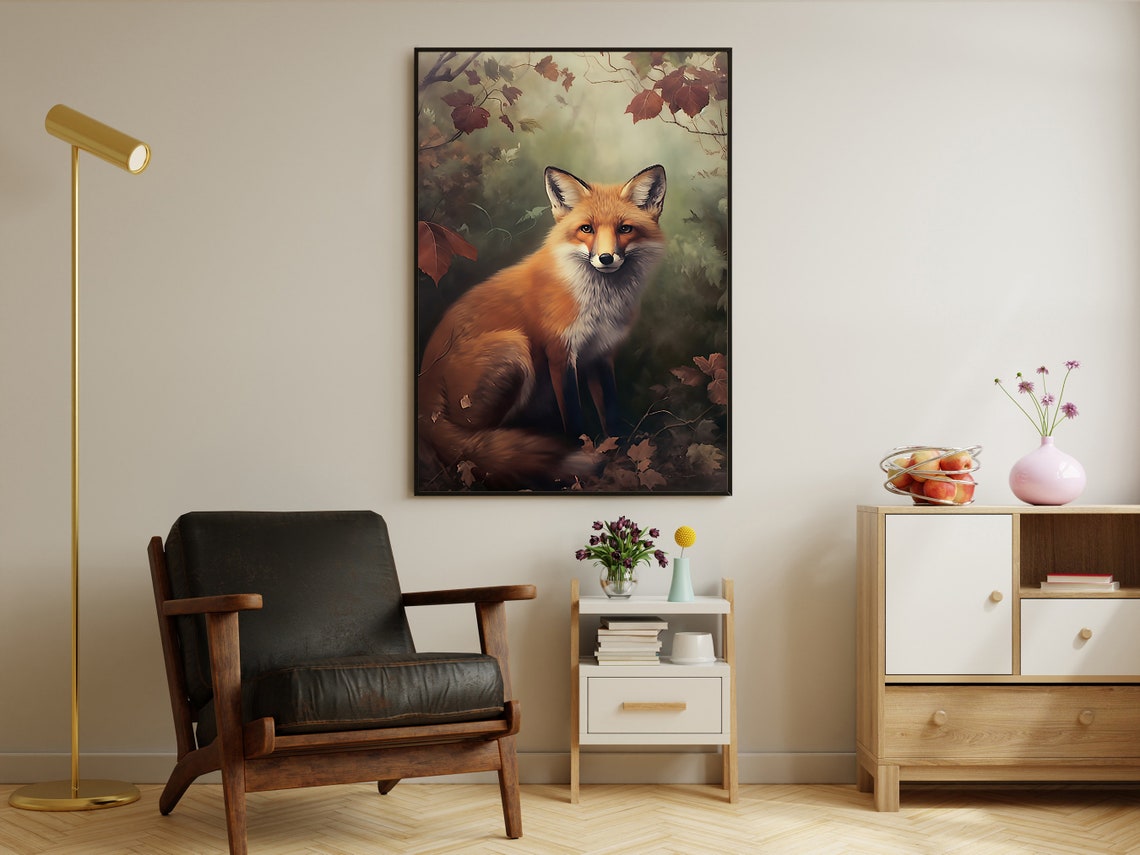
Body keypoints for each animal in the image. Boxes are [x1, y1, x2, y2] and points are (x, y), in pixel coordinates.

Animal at [417, 163, 668, 489]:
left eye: (625, 229)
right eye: (586, 229)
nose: (605, 258)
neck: (599, 304)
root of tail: (424, 393)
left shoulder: (601, 354)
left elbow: (610, 411)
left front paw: (620, 451)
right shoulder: (560, 354)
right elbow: (573, 417)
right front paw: (582, 460)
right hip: (513, 349)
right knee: (475, 444)